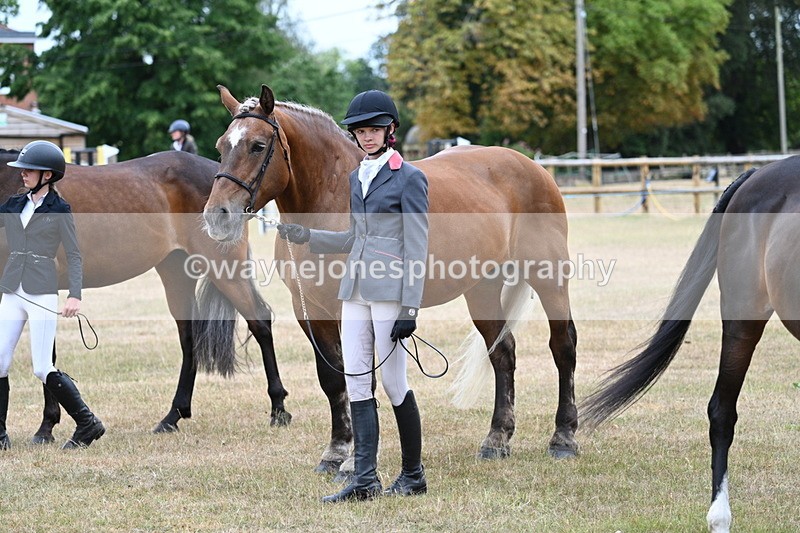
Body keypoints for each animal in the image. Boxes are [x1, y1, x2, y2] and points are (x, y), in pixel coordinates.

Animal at [0, 149, 291, 442]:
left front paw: (45, 428)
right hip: (177, 272)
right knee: (190, 339)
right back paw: (173, 416)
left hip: (224, 269)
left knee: (260, 321)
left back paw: (279, 410)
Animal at [201, 84, 579, 475]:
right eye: (221, 146)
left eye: (258, 146)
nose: (217, 217)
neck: (335, 200)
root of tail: (532, 166)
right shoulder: (311, 311)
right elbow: (333, 380)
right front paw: (336, 451)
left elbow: (361, 379)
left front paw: (354, 460)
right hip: (482, 289)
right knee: (503, 352)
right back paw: (497, 439)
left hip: (549, 276)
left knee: (562, 346)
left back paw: (563, 437)